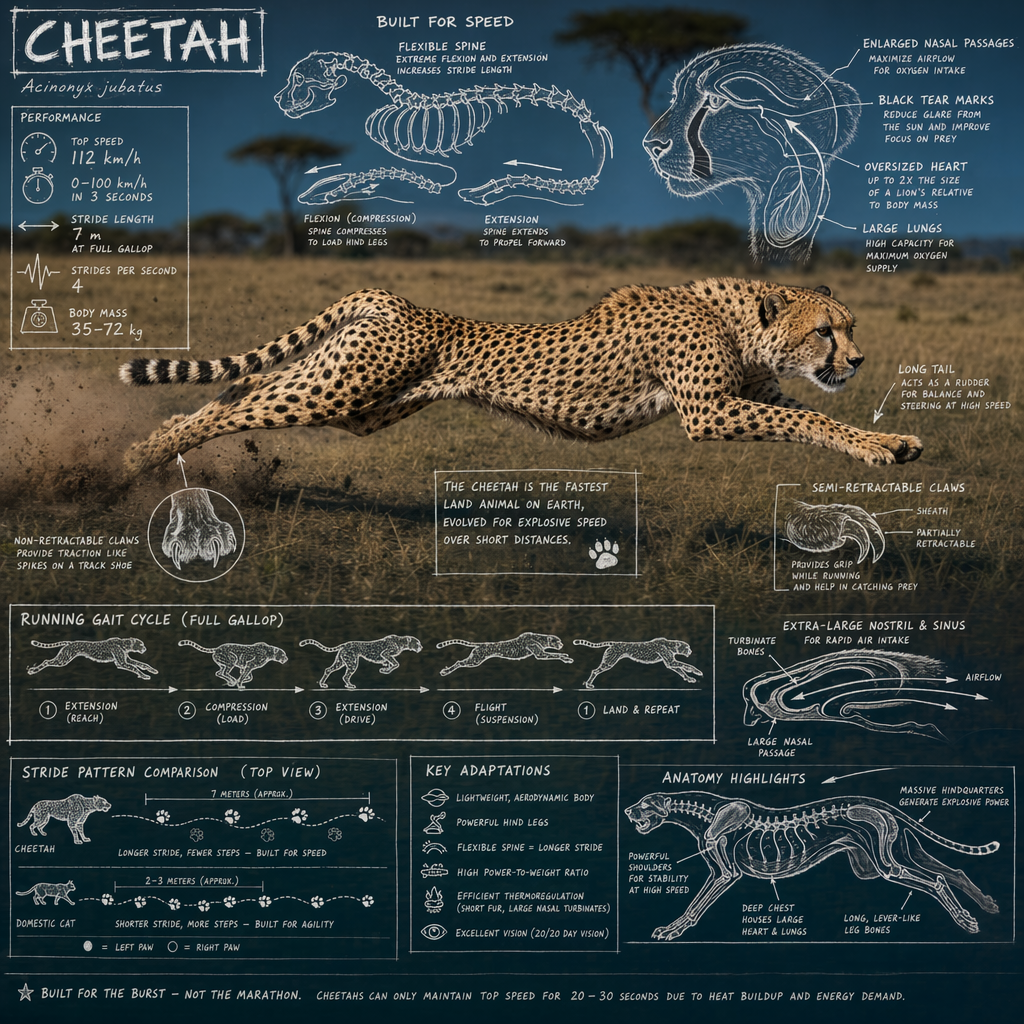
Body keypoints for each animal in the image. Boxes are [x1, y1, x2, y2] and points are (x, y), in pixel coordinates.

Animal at [27, 637, 158, 680]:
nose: (145, 649)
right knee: (46, 661)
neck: (123, 644)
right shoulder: (121, 663)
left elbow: (142, 664)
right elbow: (136, 668)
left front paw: (153, 670)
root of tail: (70, 642)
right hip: (62, 660)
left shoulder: (126, 661)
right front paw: (144, 675)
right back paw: (33, 670)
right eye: (141, 644)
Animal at [437, 632, 573, 677]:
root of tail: (481, 644)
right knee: (459, 662)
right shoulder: (541, 655)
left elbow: (556, 654)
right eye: (558, 641)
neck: (540, 638)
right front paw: (566, 658)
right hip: (474, 661)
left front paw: (566, 656)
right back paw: (445, 671)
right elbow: (555, 655)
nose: (562, 644)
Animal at [573, 638, 703, 689]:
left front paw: (689, 678)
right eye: (687, 647)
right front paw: (697, 671)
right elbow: (686, 665)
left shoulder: (671, 663)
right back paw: (588, 684)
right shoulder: (671, 662)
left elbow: (681, 670)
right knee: (594, 671)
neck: (670, 645)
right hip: (609, 662)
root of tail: (614, 643)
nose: (690, 651)